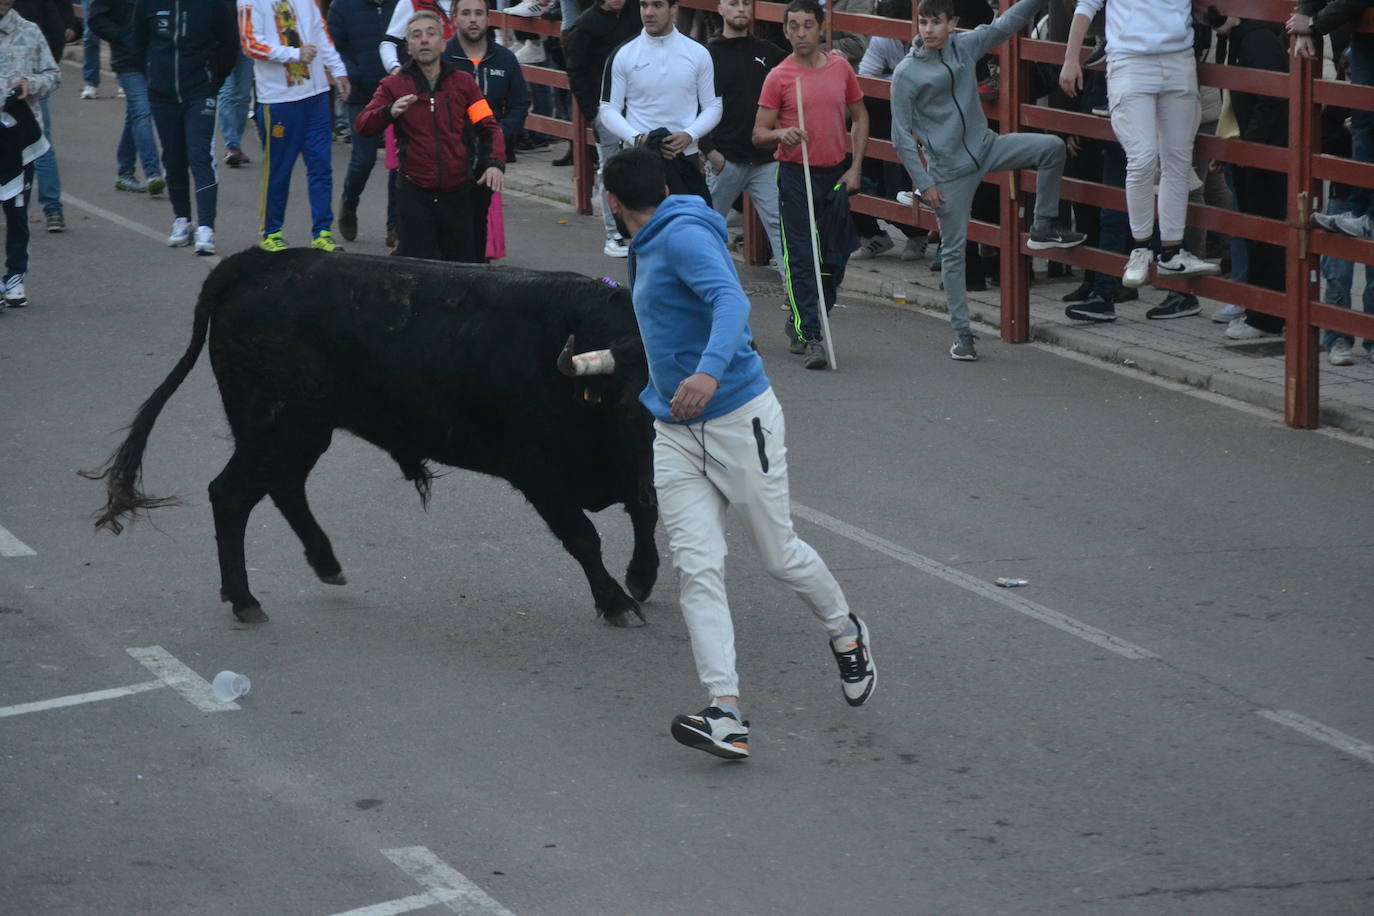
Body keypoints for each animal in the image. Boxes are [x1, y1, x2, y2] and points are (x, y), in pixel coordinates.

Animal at [84, 247, 659, 626]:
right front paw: (617, 602)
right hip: (277, 426)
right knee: (231, 494)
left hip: (299, 431)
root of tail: (256, 262)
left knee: (282, 487)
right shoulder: (536, 469)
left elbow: (645, 510)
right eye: (628, 411)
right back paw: (245, 599)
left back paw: (326, 564)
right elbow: (583, 534)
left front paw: (642, 577)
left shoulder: (627, 472)